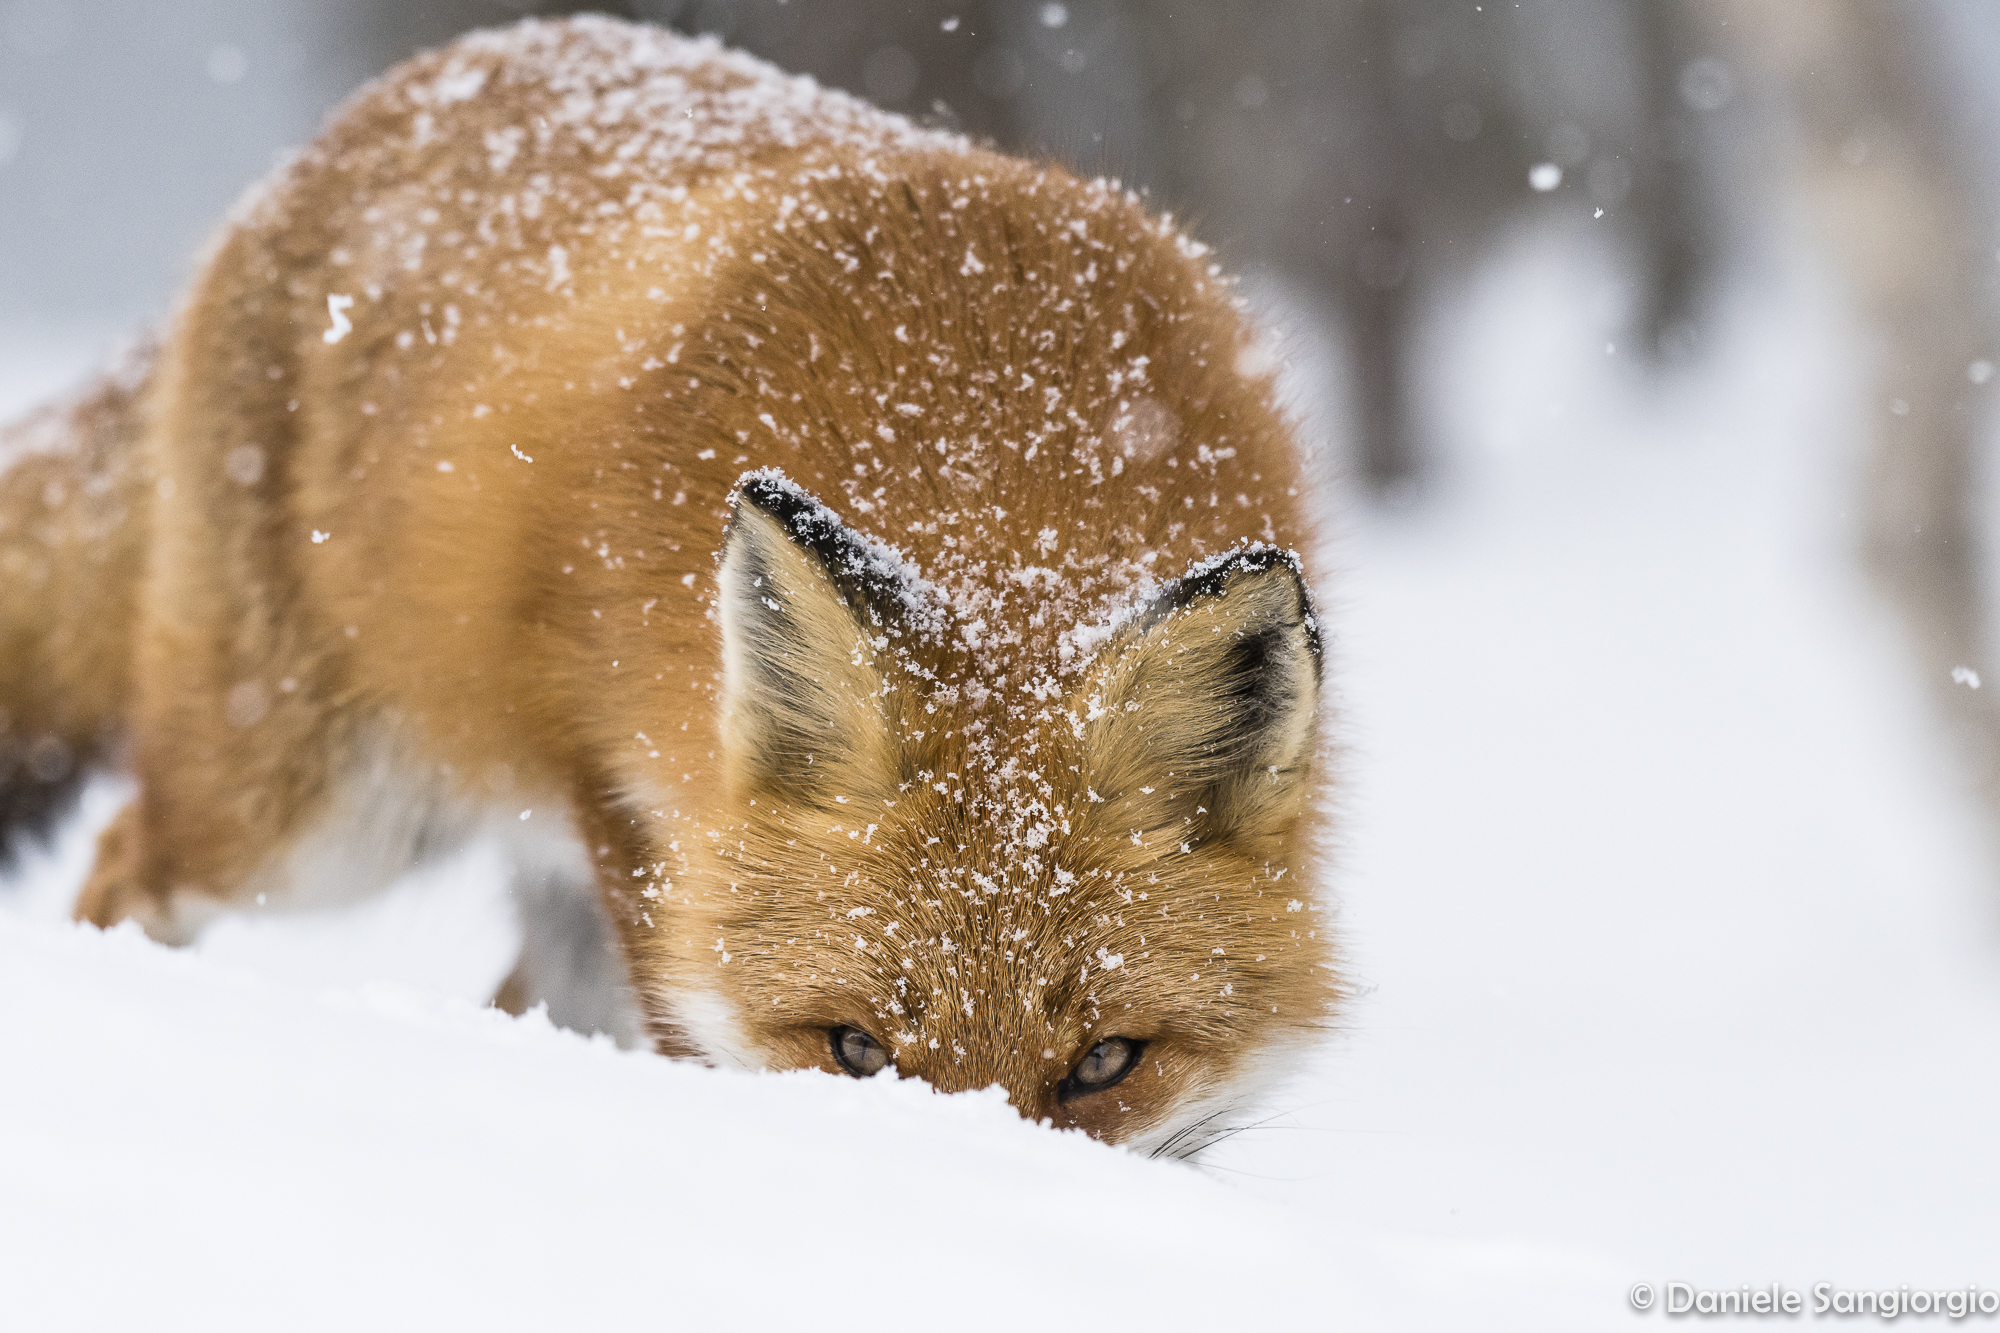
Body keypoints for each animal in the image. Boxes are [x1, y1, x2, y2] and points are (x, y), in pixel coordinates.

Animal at [0, 17, 1335, 1153]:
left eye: (1105, 1061)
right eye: (855, 1048)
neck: (1003, 443)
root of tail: (331, 140)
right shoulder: (643, 825)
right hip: (315, 819)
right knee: (122, 856)